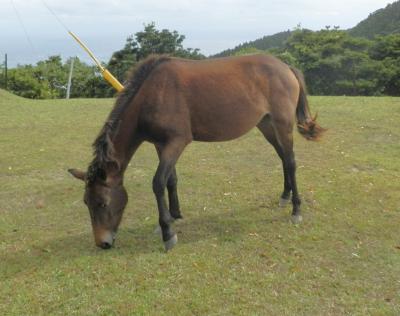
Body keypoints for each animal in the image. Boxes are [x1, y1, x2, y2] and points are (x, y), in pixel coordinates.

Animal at [69, 54, 324, 252]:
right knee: (283, 158)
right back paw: (285, 196)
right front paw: (173, 216)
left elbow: (158, 182)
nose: (102, 243)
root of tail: (286, 67)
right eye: (86, 202)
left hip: (282, 124)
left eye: (102, 203)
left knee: (291, 162)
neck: (153, 93)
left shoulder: (177, 142)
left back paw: (296, 209)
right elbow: (170, 179)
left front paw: (168, 233)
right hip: (267, 124)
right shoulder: (161, 144)